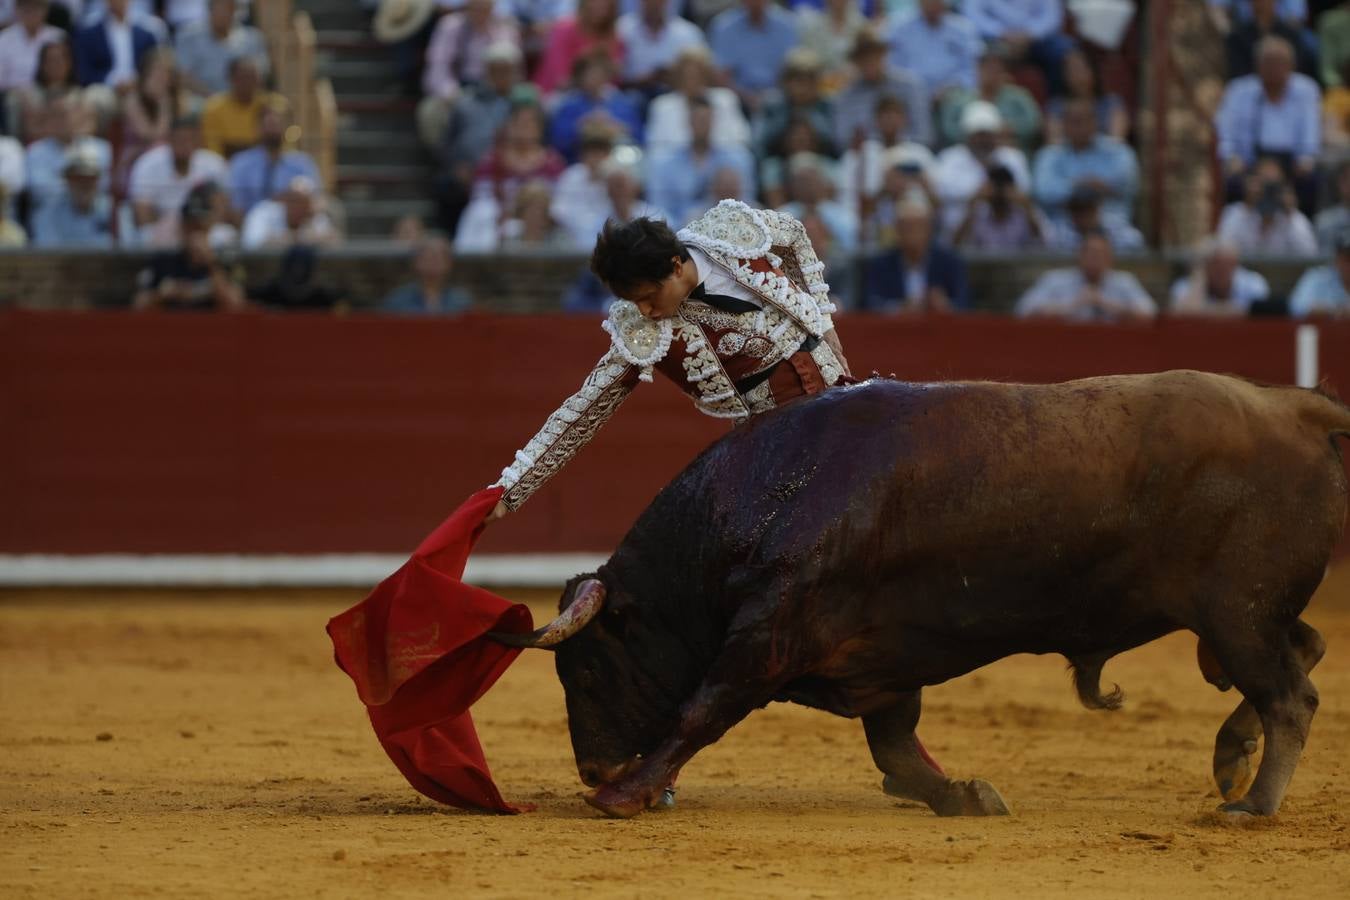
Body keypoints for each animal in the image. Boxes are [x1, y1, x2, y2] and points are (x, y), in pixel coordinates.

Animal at [491, 369, 1350, 820]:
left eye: (588, 668)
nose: (593, 770)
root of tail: (1293, 407)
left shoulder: (769, 637)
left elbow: (703, 709)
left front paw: (627, 794)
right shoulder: (879, 658)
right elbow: (896, 744)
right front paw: (965, 793)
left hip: (1237, 612)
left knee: (1291, 695)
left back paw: (1252, 803)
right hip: (1246, 616)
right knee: (1301, 654)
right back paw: (1232, 762)